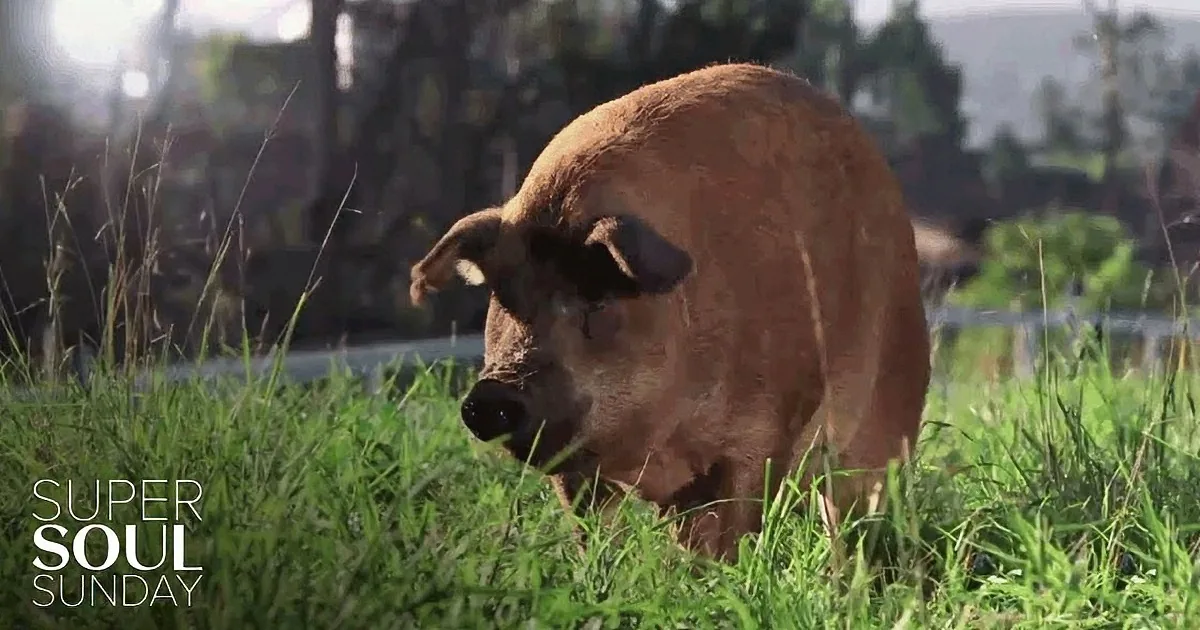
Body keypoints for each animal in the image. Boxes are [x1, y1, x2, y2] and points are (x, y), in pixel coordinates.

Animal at [409, 62, 931, 563]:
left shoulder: (760, 439)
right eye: (504, 296)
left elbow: (736, 532)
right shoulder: (581, 466)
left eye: (597, 296)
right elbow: (593, 536)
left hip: (890, 404)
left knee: (858, 519)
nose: (493, 392)